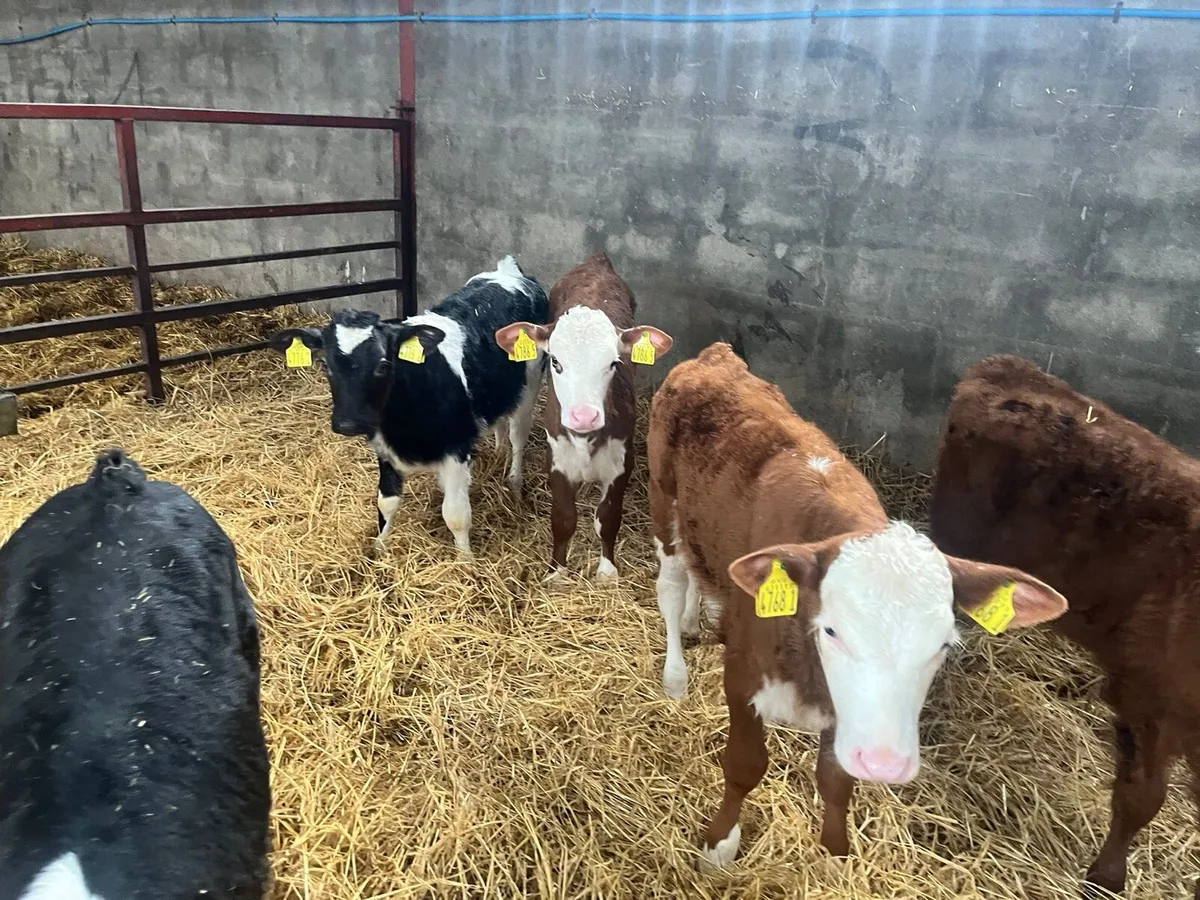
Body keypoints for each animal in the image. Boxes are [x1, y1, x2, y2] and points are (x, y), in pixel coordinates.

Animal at [269, 255, 549, 555]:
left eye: (383, 365)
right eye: (324, 364)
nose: (348, 423)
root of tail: (508, 271)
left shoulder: (456, 450)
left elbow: (456, 515)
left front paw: (466, 560)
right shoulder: (384, 449)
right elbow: (386, 502)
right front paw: (379, 548)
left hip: (531, 381)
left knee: (518, 436)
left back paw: (515, 483)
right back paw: (498, 452)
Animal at [494, 252, 672, 578]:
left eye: (614, 363)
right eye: (555, 361)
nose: (584, 417)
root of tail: (597, 261)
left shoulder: (621, 462)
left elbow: (608, 518)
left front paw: (606, 572)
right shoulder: (558, 461)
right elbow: (563, 519)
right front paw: (557, 573)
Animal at [647, 343, 1067, 867]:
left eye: (943, 644)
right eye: (832, 630)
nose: (885, 764)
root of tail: (715, 357)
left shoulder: (847, 712)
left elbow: (836, 782)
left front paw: (835, 851)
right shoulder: (743, 675)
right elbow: (745, 765)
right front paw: (719, 845)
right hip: (664, 501)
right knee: (671, 583)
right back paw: (675, 674)